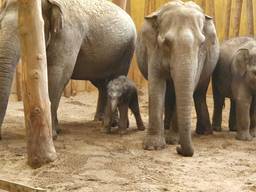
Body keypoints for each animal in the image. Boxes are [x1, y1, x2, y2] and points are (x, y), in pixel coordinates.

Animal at [0, 0, 137, 138]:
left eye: (27, 34)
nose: (2, 136)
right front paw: (57, 130)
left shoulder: (68, 34)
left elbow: (58, 75)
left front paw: (53, 135)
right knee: (102, 84)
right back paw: (99, 120)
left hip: (127, 51)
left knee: (116, 78)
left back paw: (113, 124)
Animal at [135, 0, 219, 157]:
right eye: (166, 42)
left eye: (201, 43)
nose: (179, 149)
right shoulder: (153, 48)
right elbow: (156, 83)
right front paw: (153, 147)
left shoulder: (201, 57)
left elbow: (191, 83)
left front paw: (173, 141)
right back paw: (166, 126)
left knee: (198, 93)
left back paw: (203, 132)